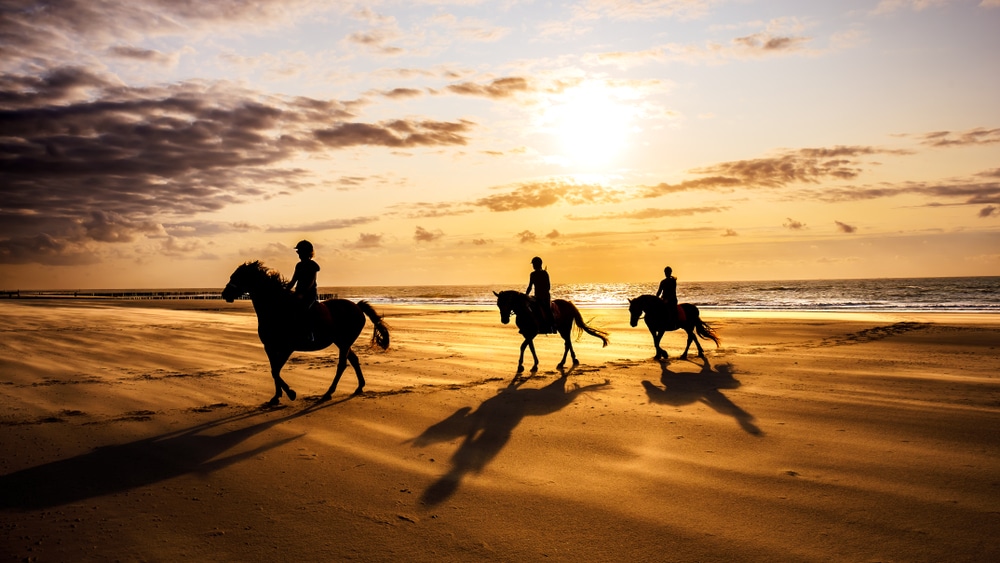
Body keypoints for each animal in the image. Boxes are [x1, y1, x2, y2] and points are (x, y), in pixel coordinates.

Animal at [221, 260, 388, 406]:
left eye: (237, 276)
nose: (224, 294)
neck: (275, 308)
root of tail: (357, 307)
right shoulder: (269, 347)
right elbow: (274, 370)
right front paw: (276, 397)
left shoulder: (288, 347)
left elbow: (276, 370)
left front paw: (290, 393)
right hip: (342, 342)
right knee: (353, 359)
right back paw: (359, 387)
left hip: (344, 342)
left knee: (342, 364)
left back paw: (328, 393)